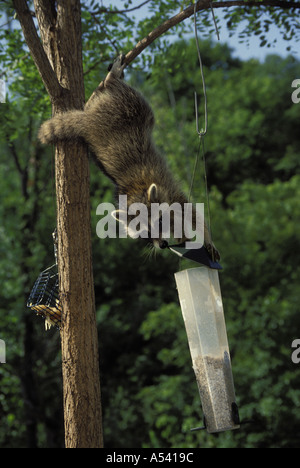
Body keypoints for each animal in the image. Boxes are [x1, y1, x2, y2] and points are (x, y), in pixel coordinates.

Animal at [39, 55, 218, 260]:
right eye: (145, 233)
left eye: (159, 222)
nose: (163, 245)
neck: (137, 191)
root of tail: (89, 120)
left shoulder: (169, 189)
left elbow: (192, 213)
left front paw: (205, 238)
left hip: (126, 105)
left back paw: (111, 79)